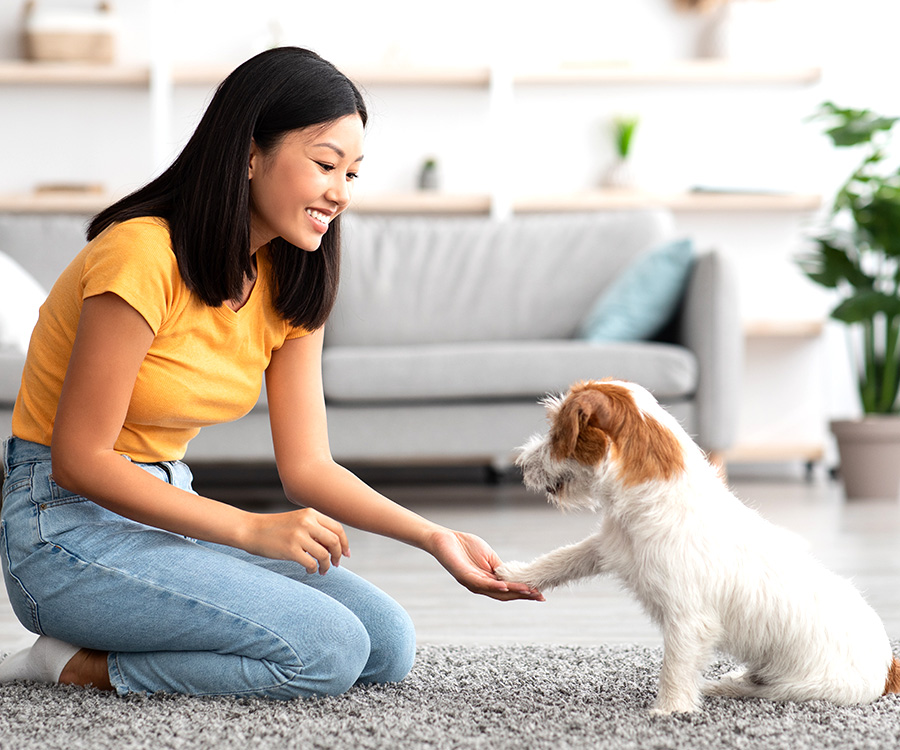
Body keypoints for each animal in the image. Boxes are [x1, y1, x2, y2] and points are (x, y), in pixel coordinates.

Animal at [496, 382, 896, 716]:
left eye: (556, 432)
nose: (520, 464)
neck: (659, 495)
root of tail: (890, 665)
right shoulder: (608, 545)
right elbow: (562, 559)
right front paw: (516, 574)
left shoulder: (688, 620)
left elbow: (674, 667)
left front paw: (669, 711)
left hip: (801, 688)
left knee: (761, 691)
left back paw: (719, 687)